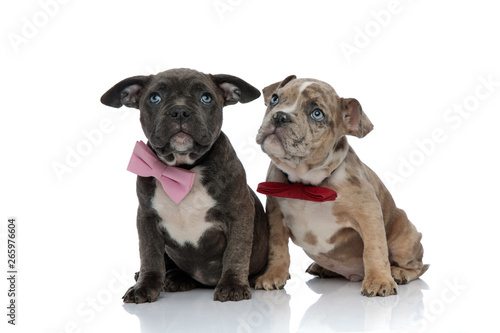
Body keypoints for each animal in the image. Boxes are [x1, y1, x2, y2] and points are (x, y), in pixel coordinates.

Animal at [101, 68, 270, 302]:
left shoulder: (239, 213)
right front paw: (145, 286)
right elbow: (150, 255)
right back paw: (172, 277)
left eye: (206, 98)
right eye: (155, 98)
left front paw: (233, 284)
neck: (183, 170)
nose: (180, 111)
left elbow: (236, 250)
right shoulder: (146, 218)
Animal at [256, 74, 428, 296]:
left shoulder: (369, 214)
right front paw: (273, 274)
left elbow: (374, 249)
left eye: (317, 114)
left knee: (417, 266)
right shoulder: (275, 215)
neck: (306, 184)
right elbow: (277, 247)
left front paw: (379, 281)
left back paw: (398, 273)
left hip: (405, 235)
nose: (280, 116)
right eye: (275, 99)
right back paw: (322, 268)